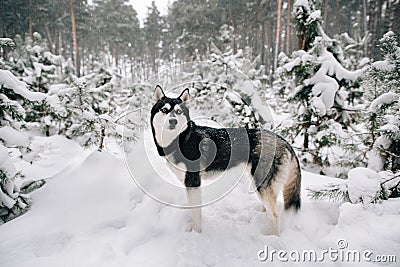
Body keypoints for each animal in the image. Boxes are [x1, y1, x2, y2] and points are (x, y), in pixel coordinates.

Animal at [150, 85, 300, 236]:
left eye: (178, 111)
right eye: (164, 110)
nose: (173, 121)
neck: (180, 139)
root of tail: (283, 140)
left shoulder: (193, 182)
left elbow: (196, 212)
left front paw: (196, 232)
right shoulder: (188, 184)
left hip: (261, 184)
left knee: (275, 215)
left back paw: (271, 236)